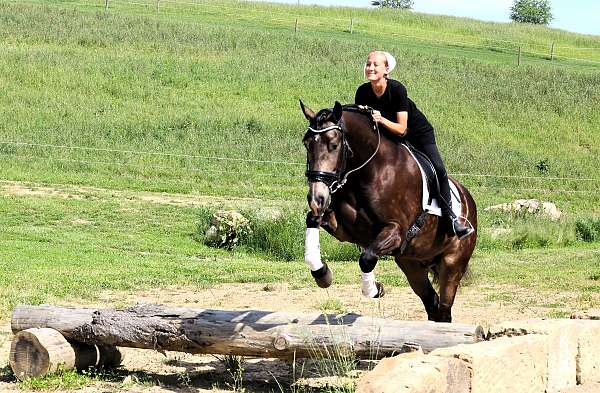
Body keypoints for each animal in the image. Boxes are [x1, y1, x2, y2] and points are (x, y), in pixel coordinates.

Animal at [302, 100, 476, 322]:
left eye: (333, 145)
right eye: (307, 144)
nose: (317, 198)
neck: (369, 171)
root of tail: (468, 199)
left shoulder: (396, 232)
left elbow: (366, 259)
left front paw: (374, 289)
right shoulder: (343, 229)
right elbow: (313, 221)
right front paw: (322, 274)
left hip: (452, 264)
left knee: (444, 307)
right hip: (411, 265)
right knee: (432, 303)